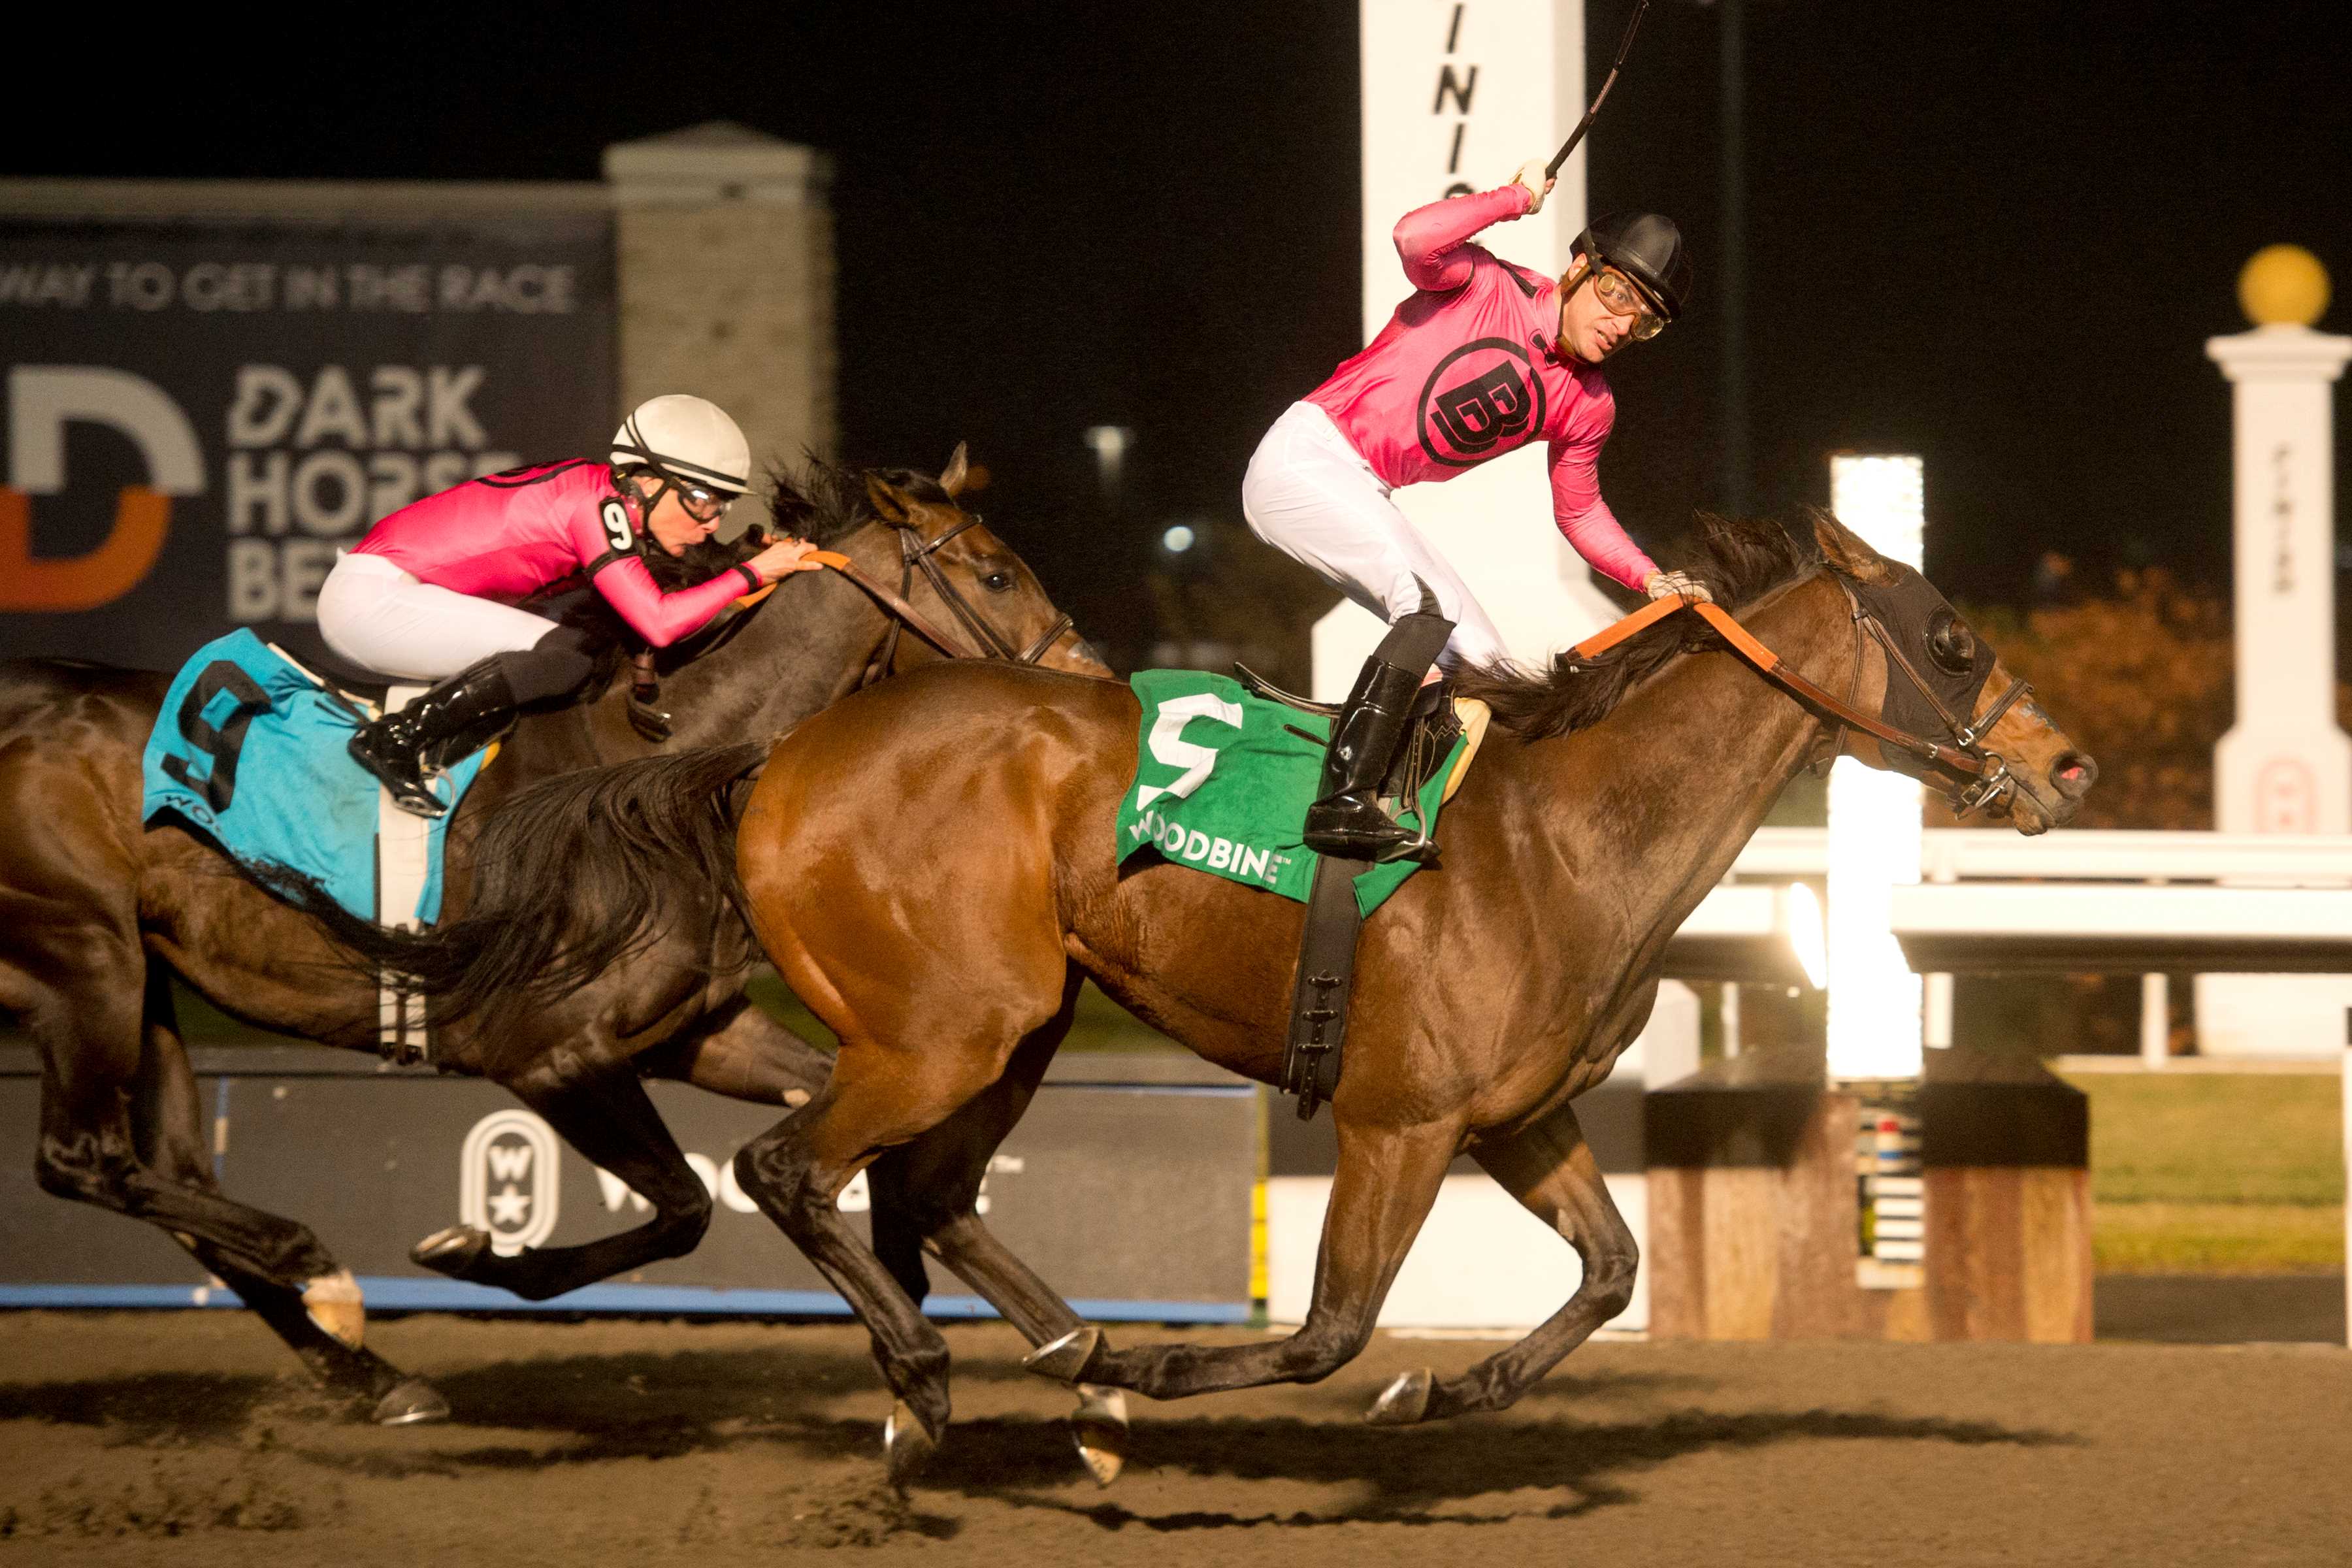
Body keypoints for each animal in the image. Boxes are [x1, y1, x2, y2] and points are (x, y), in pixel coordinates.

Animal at [0, 446, 1105, 1429]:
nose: (1093, 684)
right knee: (80, 1160)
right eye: (997, 572)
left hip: (142, 981)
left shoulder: (695, 1033)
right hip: (84, 957)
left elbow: (809, 1130)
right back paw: (315, 1265)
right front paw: (474, 1253)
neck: (656, 767)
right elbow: (685, 1208)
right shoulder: (549, 1057)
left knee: (174, 1175)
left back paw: (372, 1375)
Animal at [280, 515, 2098, 1486]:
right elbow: (1331, 1327)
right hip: (949, 1019)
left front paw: (1450, 1392)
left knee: (922, 1194)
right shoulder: (1397, 1120)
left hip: (1018, 1021)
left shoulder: (1521, 1119)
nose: (2070, 765)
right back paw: (948, 1389)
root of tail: (768, 760)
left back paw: (1057, 1366)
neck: (1565, 834)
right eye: (1949, 633)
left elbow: (1609, 1271)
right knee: (801, 1171)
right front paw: (1207, 1374)